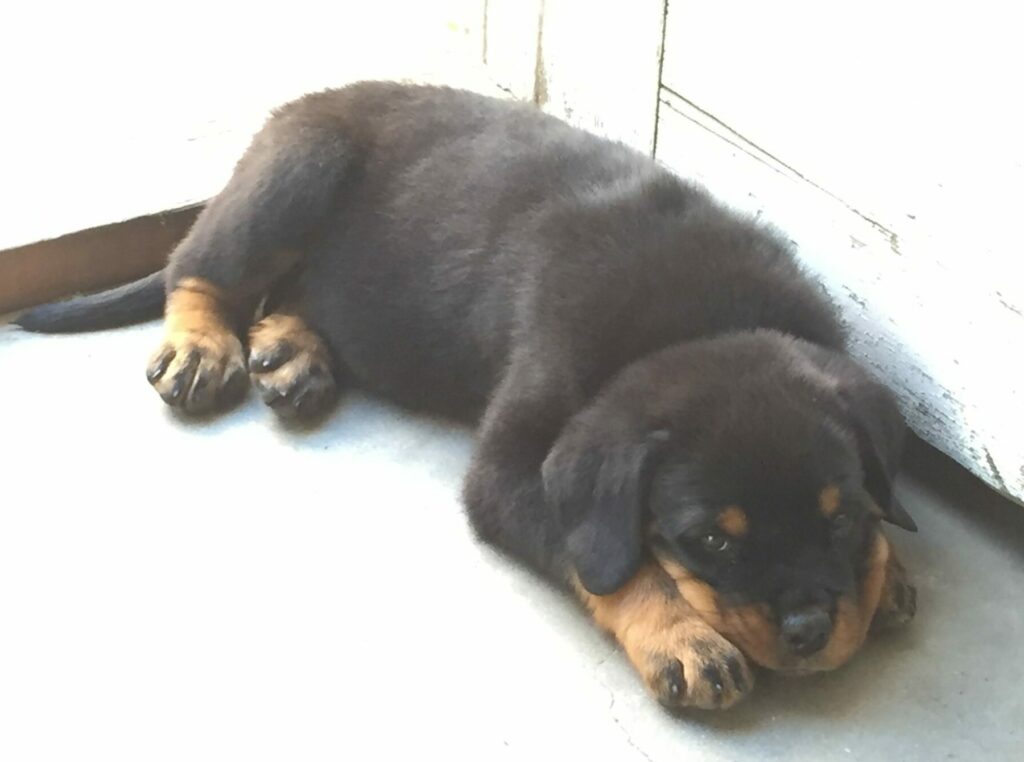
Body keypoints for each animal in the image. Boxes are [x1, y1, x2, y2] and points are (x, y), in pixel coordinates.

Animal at [19, 81, 921, 708]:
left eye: (842, 514)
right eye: (712, 542)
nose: (810, 630)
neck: (702, 319)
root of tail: (301, 107)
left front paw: (888, 570)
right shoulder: (512, 473)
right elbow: (611, 566)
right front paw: (682, 640)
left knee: (291, 293)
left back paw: (292, 352)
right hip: (297, 168)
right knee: (198, 267)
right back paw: (204, 346)